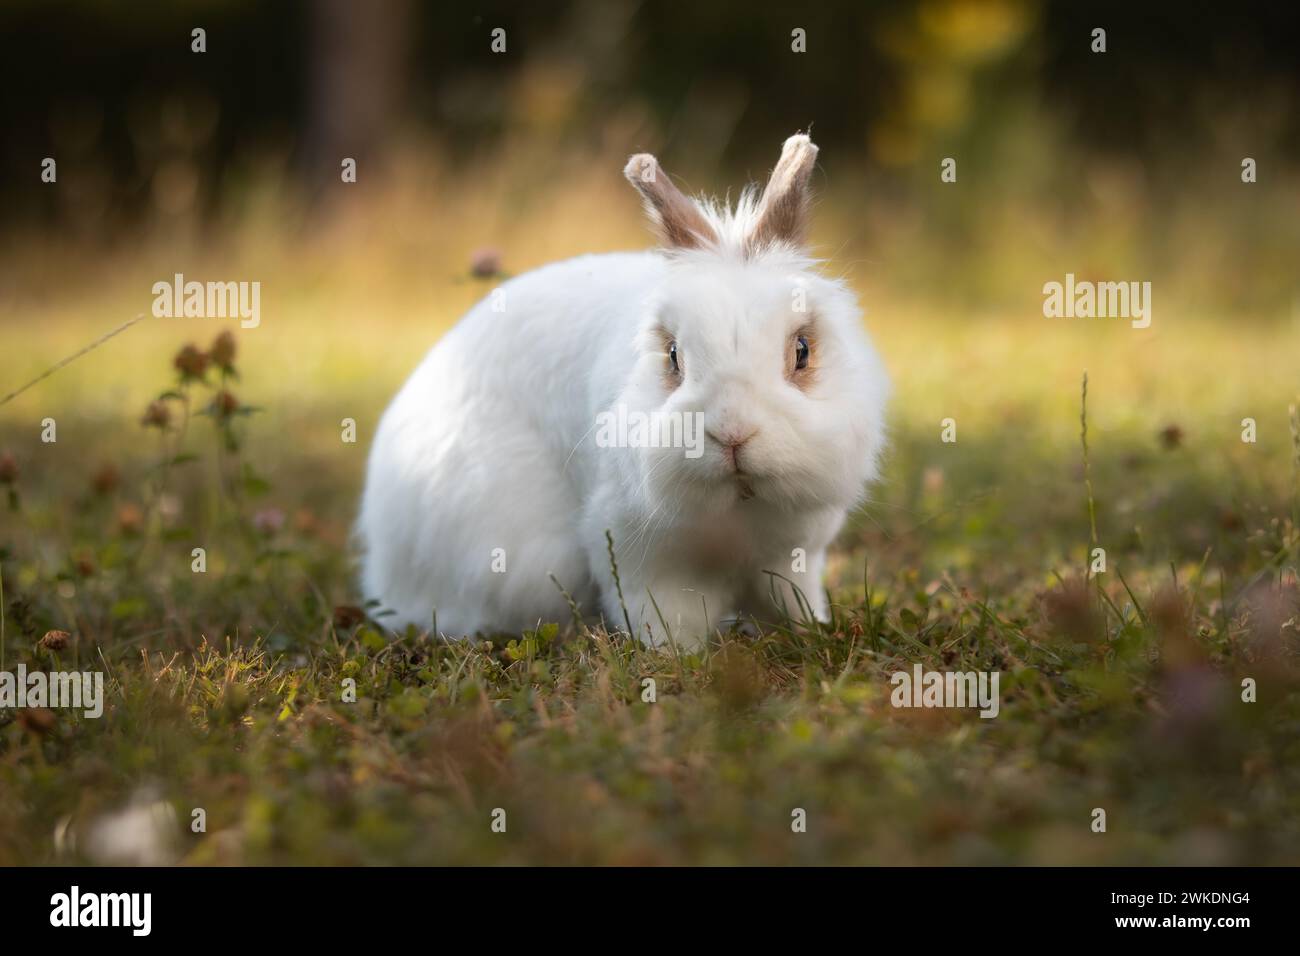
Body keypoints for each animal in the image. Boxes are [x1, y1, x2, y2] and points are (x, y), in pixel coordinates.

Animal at [356, 134, 889, 650]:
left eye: (802, 351)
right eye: (673, 356)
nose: (732, 433)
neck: (738, 504)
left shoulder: (795, 556)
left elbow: (793, 601)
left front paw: (811, 631)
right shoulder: (644, 559)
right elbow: (665, 618)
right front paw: (676, 657)